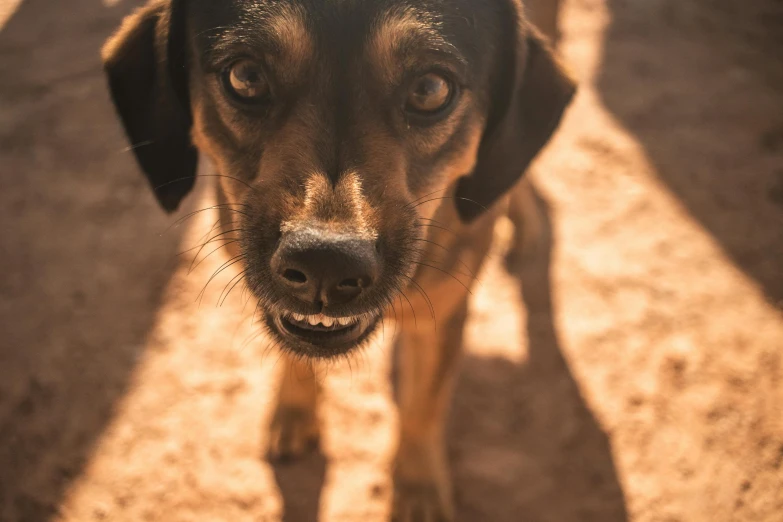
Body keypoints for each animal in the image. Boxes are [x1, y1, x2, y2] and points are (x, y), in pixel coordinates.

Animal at [101, 0, 572, 516]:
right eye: (245, 76)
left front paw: (418, 489)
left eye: (431, 89)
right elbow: (292, 354)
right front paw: (294, 410)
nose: (325, 263)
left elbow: (424, 408)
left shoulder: (445, 312)